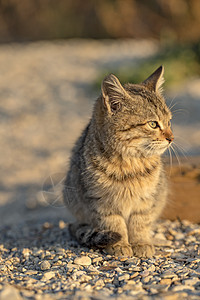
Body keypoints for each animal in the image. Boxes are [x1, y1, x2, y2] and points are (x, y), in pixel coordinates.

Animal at [63, 65, 173, 258]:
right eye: (153, 124)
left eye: (169, 122)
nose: (171, 138)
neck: (129, 163)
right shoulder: (102, 202)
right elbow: (114, 224)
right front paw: (120, 244)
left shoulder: (146, 200)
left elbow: (140, 222)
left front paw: (141, 242)